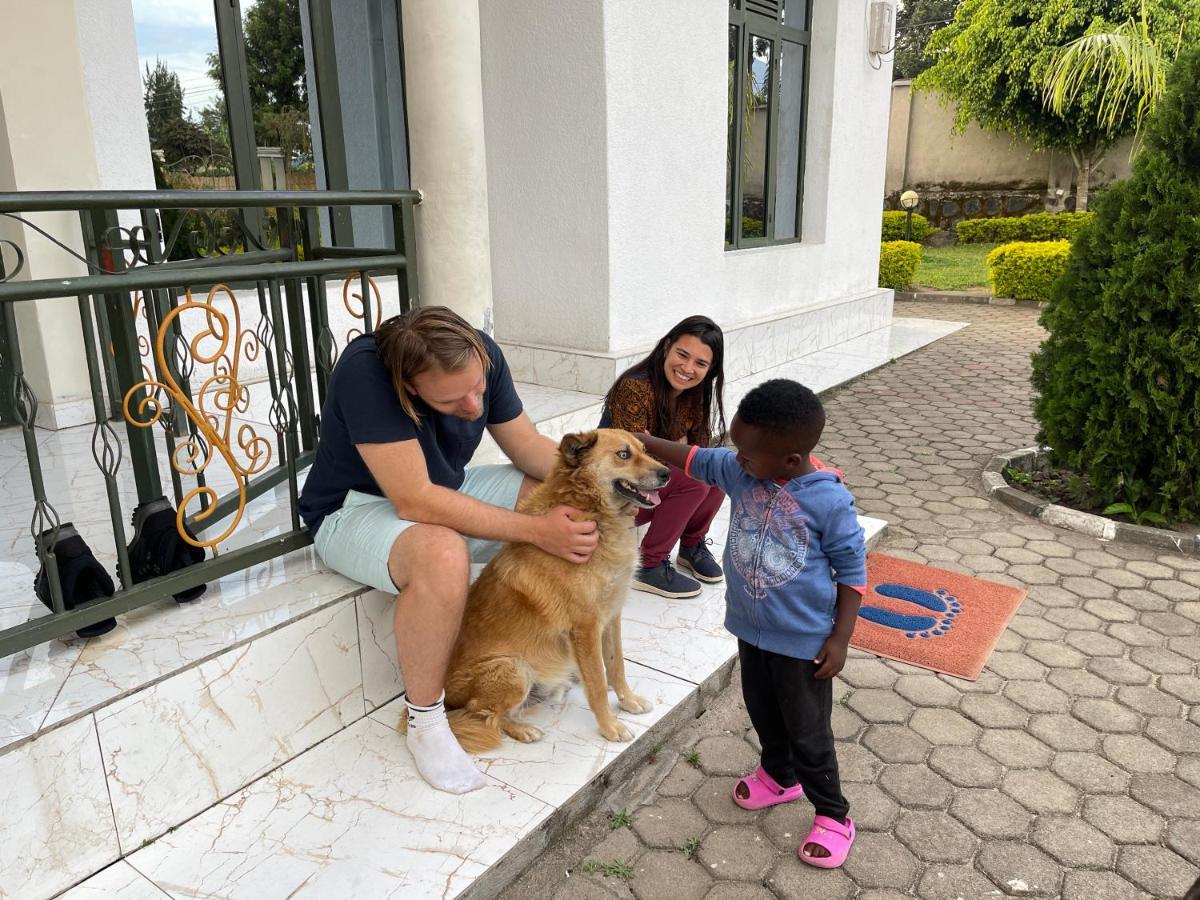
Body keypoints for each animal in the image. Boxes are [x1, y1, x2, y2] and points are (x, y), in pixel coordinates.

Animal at [436, 429, 672, 753]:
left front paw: (628, 701)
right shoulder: (585, 627)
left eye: (644, 450)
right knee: (482, 713)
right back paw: (522, 729)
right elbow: (598, 683)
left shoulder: (612, 616)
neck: (595, 514)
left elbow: (616, 665)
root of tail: (448, 697)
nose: (668, 474)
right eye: (623, 455)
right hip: (513, 668)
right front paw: (609, 726)